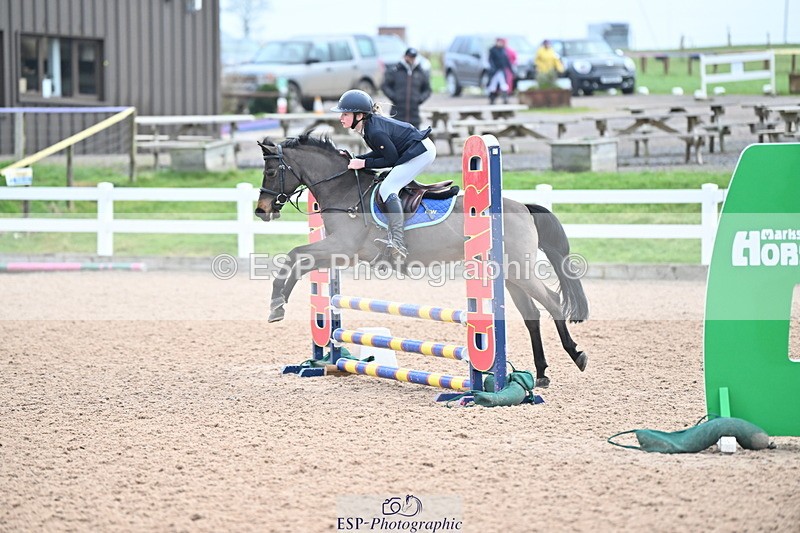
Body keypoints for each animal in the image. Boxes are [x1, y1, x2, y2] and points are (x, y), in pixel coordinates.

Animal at [254, 134, 589, 388]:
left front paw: (276, 306)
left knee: (553, 301)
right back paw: (542, 373)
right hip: (509, 274)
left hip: (520, 272)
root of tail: (523, 207)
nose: (262, 210)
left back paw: (576, 355)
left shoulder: (342, 248)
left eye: (270, 172)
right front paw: (277, 306)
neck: (344, 192)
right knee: (532, 314)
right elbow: (299, 260)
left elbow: (294, 255)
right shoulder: (336, 252)